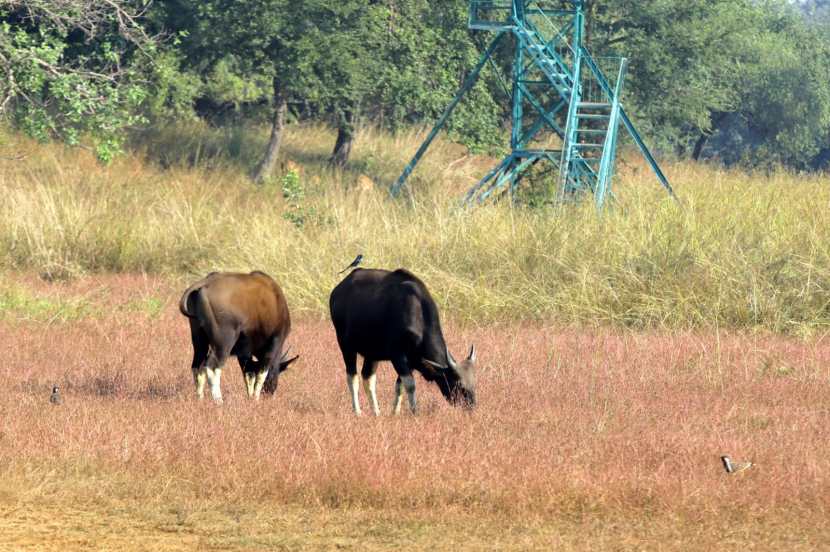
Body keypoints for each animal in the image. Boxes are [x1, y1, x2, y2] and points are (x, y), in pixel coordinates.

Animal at [179, 270, 300, 404]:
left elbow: (248, 375)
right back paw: (219, 401)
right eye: (278, 372)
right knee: (212, 366)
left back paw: (200, 399)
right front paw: (256, 399)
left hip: (199, 342)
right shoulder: (272, 346)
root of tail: (206, 282)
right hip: (223, 344)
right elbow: (261, 374)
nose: (270, 392)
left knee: (197, 366)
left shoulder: (244, 354)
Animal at [330, 268, 478, 414]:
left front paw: (395, 413)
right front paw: (415, 412)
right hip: (346, 346)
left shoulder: (411, 360)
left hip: (372, 353)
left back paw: (376, 412)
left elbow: (400, 386)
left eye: (474, 383)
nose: (471, 407)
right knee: (352, 378)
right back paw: (357, 412)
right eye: (459, 384)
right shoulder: (398, 356)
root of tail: (337, 291)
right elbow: (410, 385)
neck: (417, 313)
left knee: (368, 378)